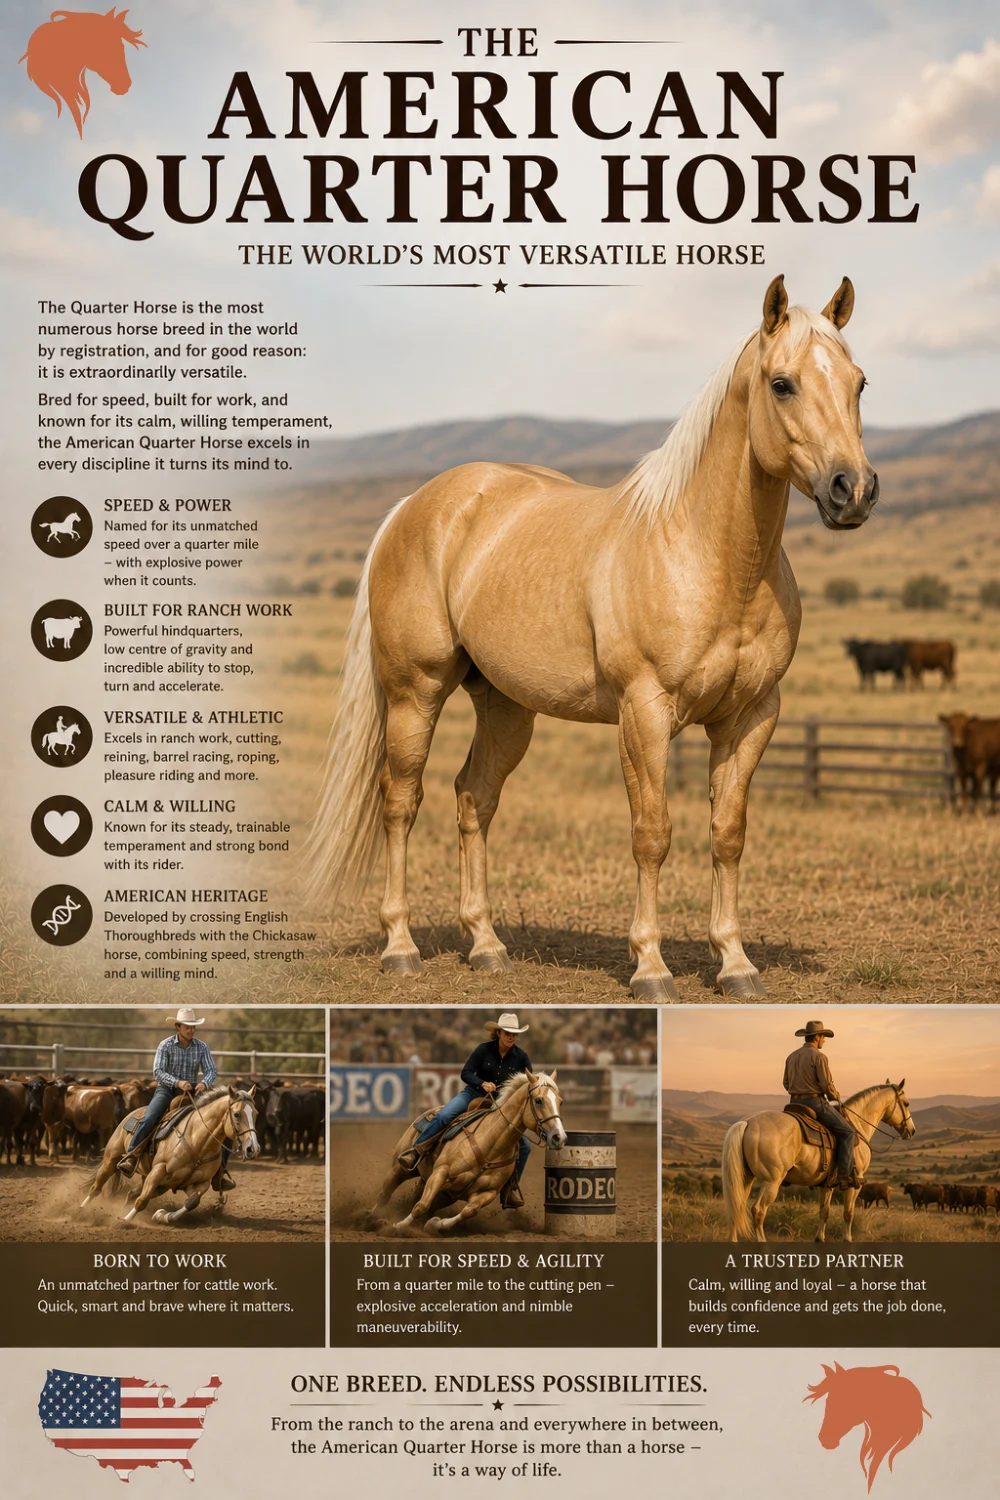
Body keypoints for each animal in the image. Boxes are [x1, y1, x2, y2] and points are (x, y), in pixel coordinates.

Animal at [81, 1085, 260, 1226]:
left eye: (256, 1114)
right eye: (236, 1114)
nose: (253, 1148)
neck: (197, 1144)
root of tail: (132, 1113)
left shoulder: (197, 1183)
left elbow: (192, 1202)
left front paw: (162, 1215)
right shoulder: (159, 1171)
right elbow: (142, 1200)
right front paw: (123, 1221)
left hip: (157, 1184)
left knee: (131, 1194)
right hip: (111, 1160)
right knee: (96, 1187)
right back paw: (82, 1209)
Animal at [306, 275, 877, 998]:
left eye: (860, 382)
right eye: (782, 384)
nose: (852, 490)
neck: (708, 556)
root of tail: (413, 507)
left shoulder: (751, 717)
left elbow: (727, 833)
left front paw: (735, 962)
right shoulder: (645, 713)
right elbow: (652, 832)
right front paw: (651, 967)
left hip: (505, 708)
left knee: (474, 796)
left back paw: (486, 945)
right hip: (416, 693)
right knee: (402, 801)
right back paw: (400, 945)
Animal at [372, 1071, 566, 1234]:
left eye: (560, 1101)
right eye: (539, 1101)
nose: (559, 1137)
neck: (490, 1147)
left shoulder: (487, 1193)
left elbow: (468, 1211)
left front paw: (435, 1224)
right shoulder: (440, 1172)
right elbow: (422, 1205)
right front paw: (396, 1226)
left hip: (443, 1193)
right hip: (400, 1169)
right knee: (385, 1193)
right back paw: (372, 1216)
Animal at [722, 1081, 914, 1242]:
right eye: (906, 1104)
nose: (912, 1130)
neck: (858, 1125)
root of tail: (747, 1122)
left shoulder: (827, 1184)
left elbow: (824, 1212)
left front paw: (819, 1238)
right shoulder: (855, 1182)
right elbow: (848, 1213)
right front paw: (847, 1239)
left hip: (746, 1179)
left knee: (736, 1206)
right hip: (771, 1182)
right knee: (758, 1210)